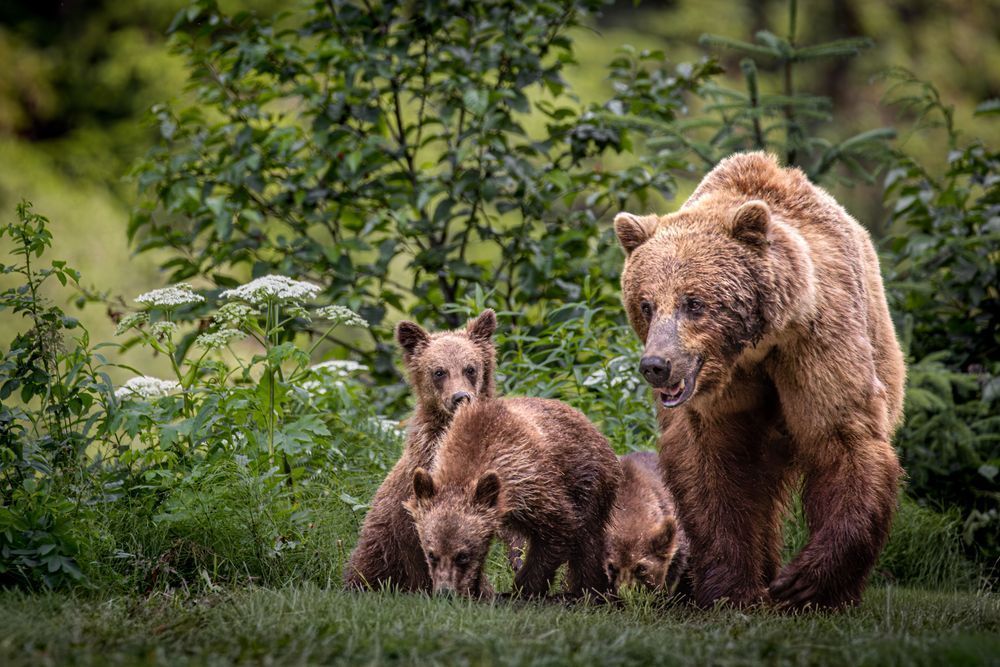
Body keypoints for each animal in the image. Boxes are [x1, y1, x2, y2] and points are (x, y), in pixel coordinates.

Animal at [403, 397, 622, 599]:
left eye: (462, 556)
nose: (445, 592)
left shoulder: (534, 483)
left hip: (589, 483)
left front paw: (524, 587)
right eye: (431, 554)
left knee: (588, 541)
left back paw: (589, 591)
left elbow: (561, 528)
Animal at [613, 151, 905, 610]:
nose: (656, 365)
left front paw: (806, 583)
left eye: (693, 302)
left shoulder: (817, 342)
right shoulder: (718, 393)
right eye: (646, 304)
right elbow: (714, 465)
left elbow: (841, 435)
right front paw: (733, 589)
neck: (754, 347)